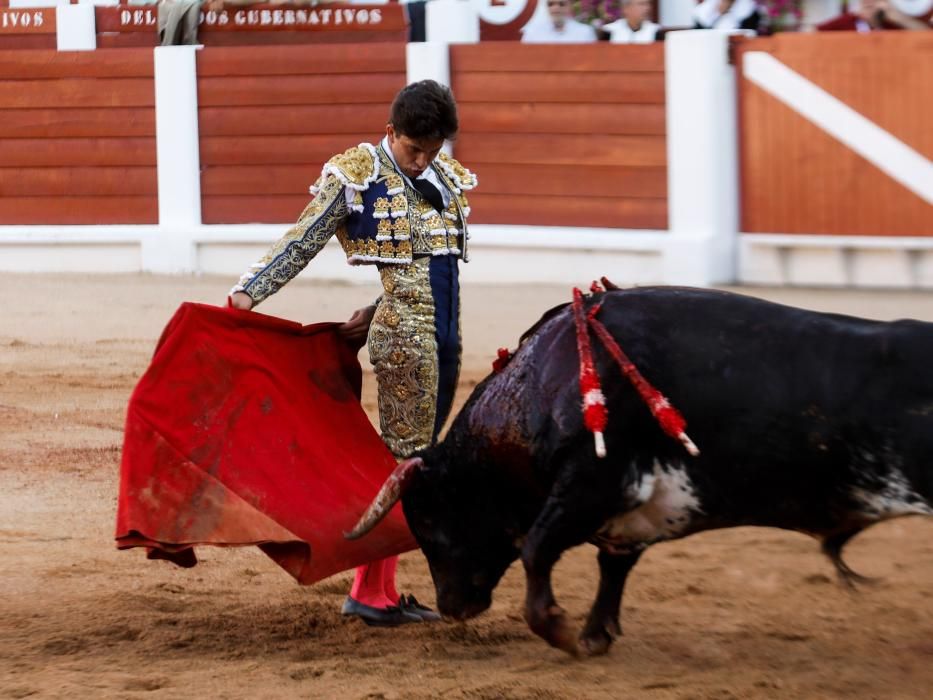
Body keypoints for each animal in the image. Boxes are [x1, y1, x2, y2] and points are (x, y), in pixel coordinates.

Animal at [344, 286, 932, 656]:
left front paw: (560, 631)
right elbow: (612, 567)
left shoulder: (591, 483)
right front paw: (594, 635)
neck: (544, 383)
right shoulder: (628, 510)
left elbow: (537, 549)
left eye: (430, 520)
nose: (451, 607)